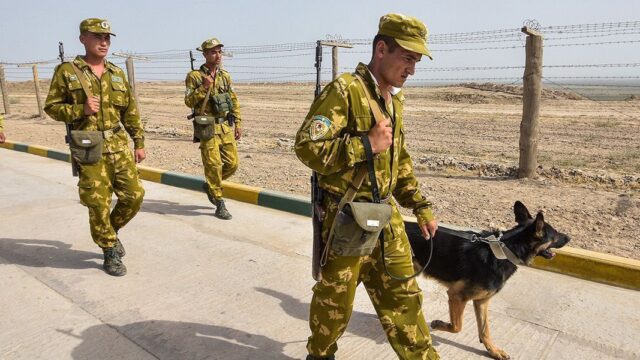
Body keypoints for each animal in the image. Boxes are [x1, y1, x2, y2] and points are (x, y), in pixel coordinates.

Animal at [404, 201, 568, 358]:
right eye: (556, 234)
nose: (569, 237)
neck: (505, 251)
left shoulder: (482, 301)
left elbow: (485, 330)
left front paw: (493, 351)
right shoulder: (457, 296)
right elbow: (457, 327)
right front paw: (438, 324)